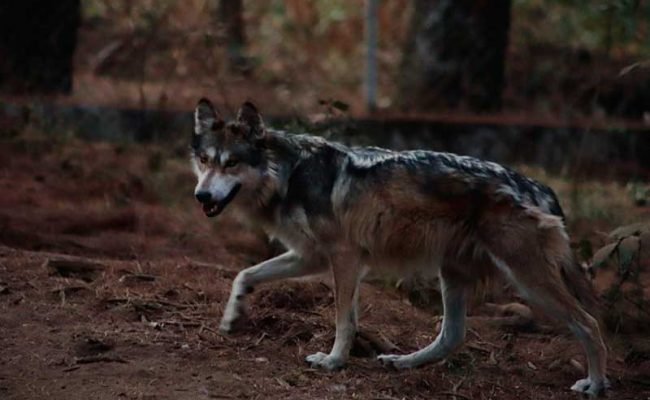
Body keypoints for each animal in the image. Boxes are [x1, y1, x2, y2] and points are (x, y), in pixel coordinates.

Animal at [190, 98, 609, 397]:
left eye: (231, 164)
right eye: (205, 161)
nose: (201, 196)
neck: (288, 174)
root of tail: (539, 187)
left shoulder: (344, 259)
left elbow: (344, 320)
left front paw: (333, 361)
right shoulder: (311, 256)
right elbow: (245, 274)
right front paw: (233, 317)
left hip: (527, 281)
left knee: (590, 323)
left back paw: (595, 385)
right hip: (452, 275)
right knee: (452, 336)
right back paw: (401, 362)